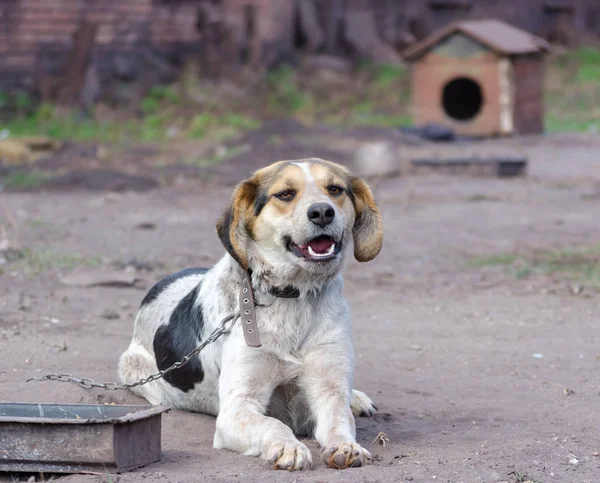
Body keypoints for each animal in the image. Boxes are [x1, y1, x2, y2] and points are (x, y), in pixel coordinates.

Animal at [118, 159, 384, 472]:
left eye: (335, 189)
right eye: (285, 194)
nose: (322, 212)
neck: (292, 297)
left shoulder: (329, 389)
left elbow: (338, 422)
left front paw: (346, 446)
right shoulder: (238, 407)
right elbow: (274, 424)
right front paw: (288, 447)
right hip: (135, 370)